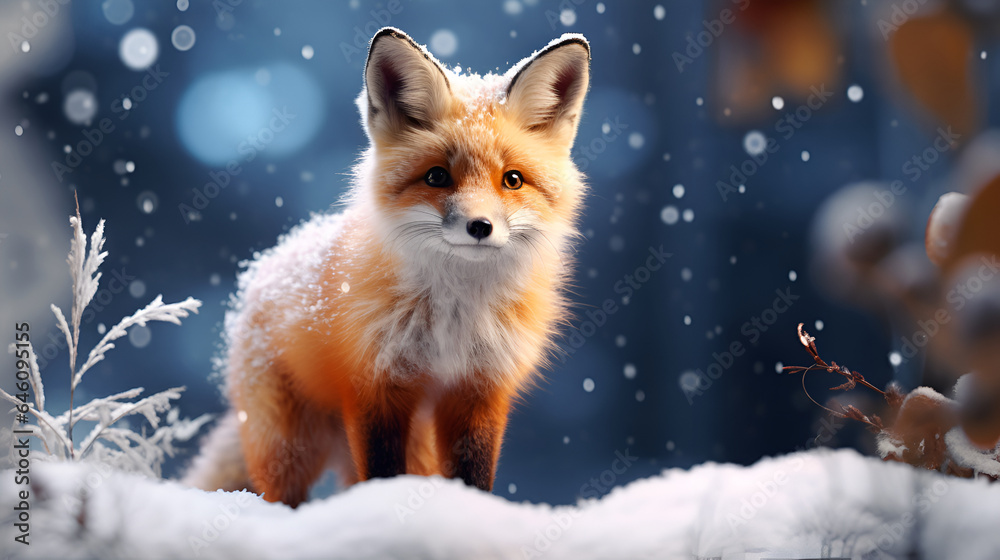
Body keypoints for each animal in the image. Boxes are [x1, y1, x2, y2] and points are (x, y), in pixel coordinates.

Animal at [183, 27, 591, 507]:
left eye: (512, 179)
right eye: (436, 177)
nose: (480, 226)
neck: (454, 314)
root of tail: (265, 266)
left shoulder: (479, 390)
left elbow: (474, 476)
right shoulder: (375, 385)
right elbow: (381, 473)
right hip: (289, 445)